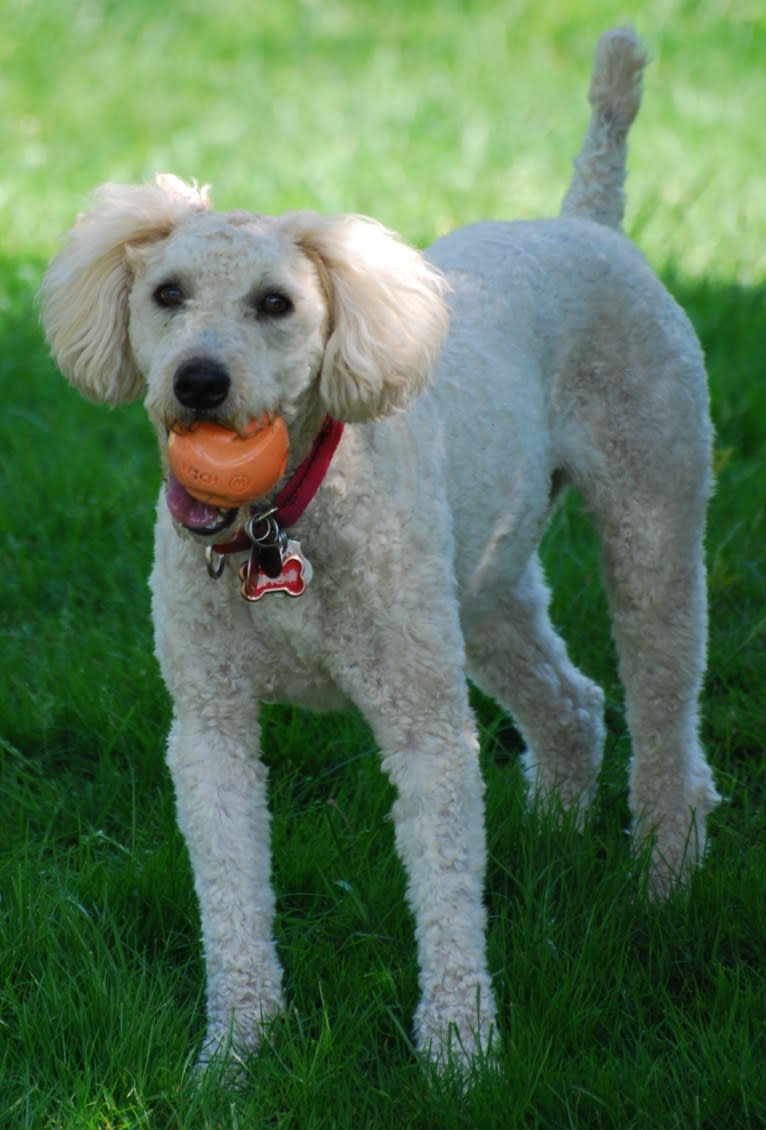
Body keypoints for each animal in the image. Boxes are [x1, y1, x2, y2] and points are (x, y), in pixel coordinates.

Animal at [40, 26, 718, 1066]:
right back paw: (553, 841)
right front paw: (237, 1052)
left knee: (664, 719)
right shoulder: (208, 723)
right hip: (482, 583)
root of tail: (587, 222)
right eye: (166, 293)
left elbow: (443, 887)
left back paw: (663, 883)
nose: (199, 382)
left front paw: (458, 1054)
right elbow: (230, 896)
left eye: (276, 304)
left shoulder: (422, 722)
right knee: (571, 705)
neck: (283, 521)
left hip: (653, 525)